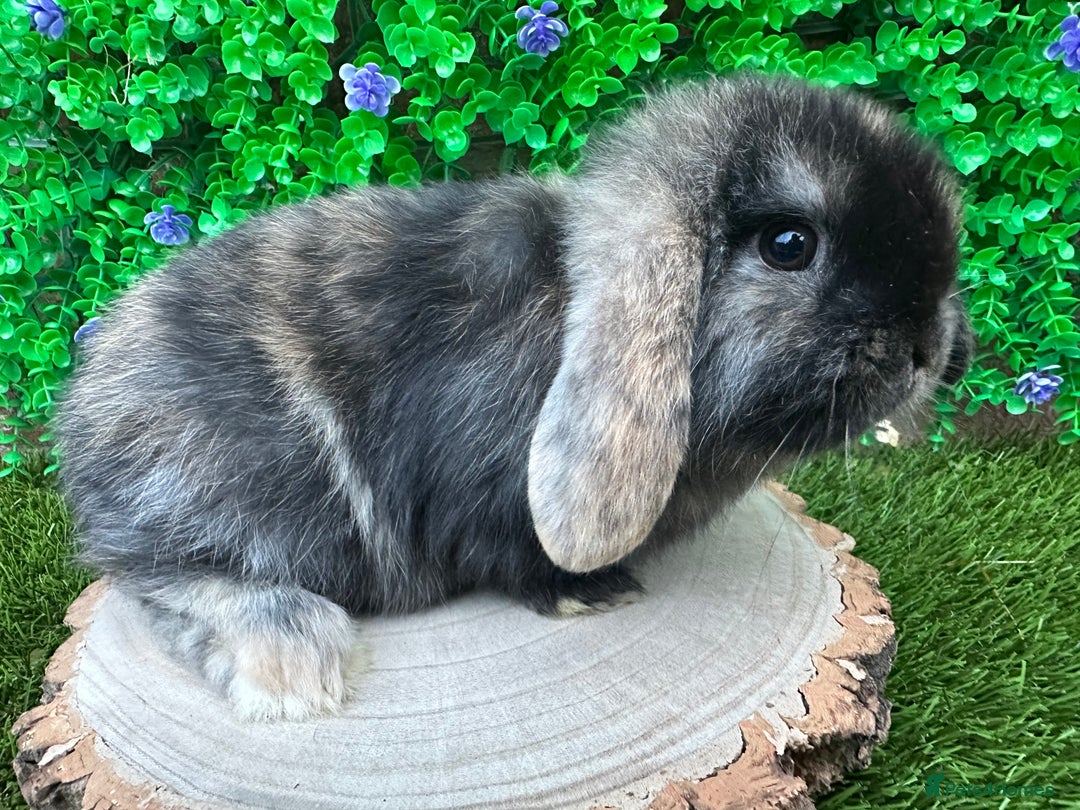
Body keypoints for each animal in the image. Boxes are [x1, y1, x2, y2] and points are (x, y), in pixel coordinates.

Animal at [57, 73, 972, 721]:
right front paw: (593, 594)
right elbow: (515, 556)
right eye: (789, 244)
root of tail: (81, 428)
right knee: (160, 577)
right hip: (224, 498)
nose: (928, 350)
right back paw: (292, 667)